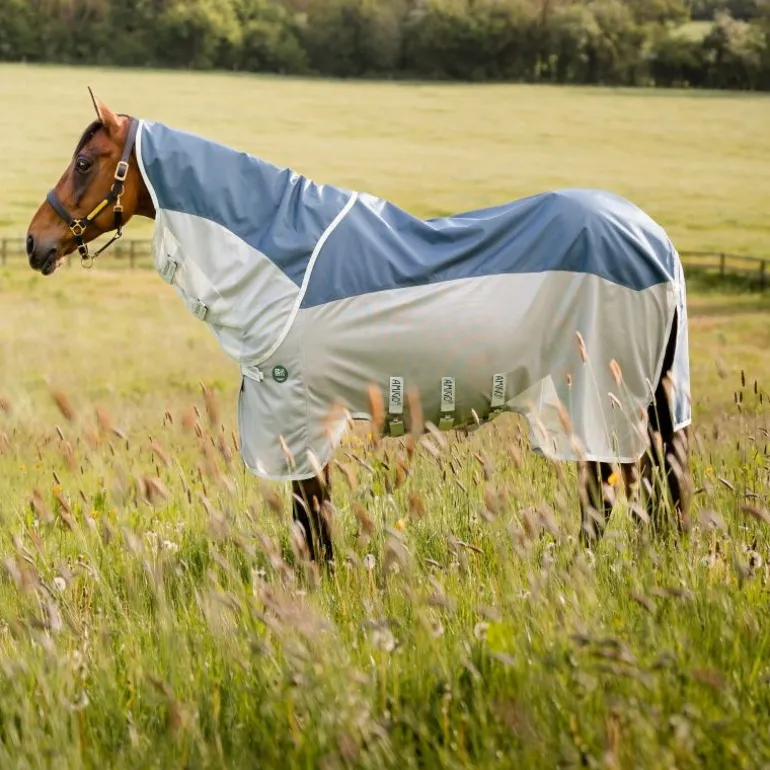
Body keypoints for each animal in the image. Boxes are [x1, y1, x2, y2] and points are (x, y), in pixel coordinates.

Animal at [26, 93, 692, 563]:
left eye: (84, 162)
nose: (35, 242)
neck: (281, 251)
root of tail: (654, 240)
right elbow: (310, 513)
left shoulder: (293, 412)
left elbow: (311, 512)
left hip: (597, 395)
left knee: (607, 486)